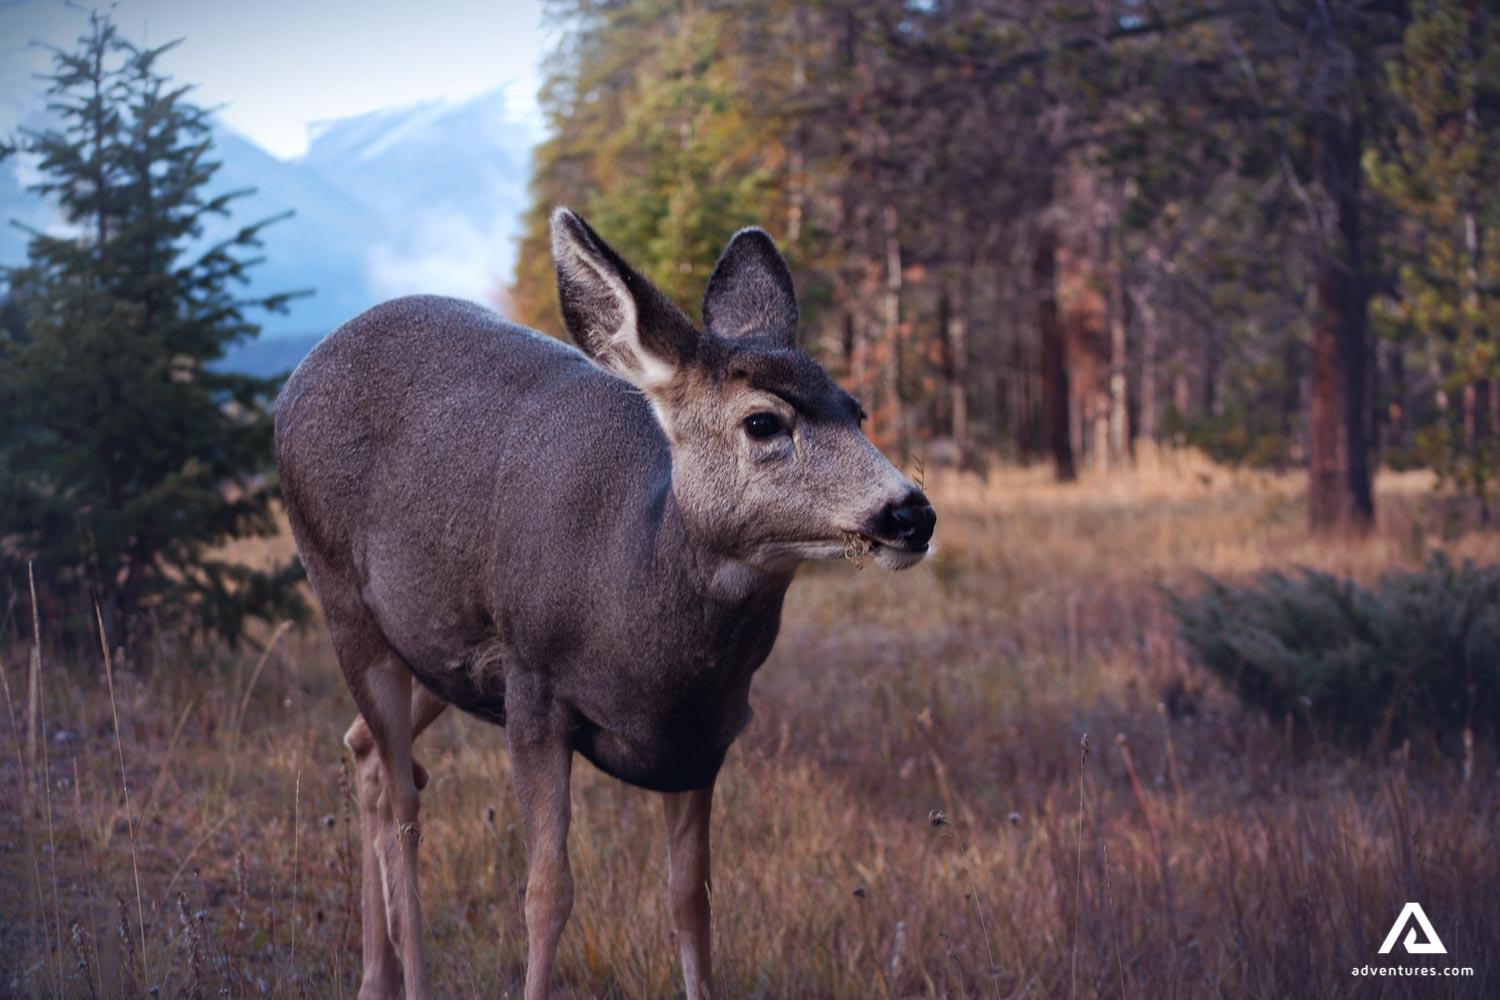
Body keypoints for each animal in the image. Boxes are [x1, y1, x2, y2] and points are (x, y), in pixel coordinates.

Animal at [274, 208, 936, 1000]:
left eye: (857, 410)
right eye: (763, 422)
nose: (911, 513)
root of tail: (296, 378)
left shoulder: (706, 736)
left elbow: (691, 899)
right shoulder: (534, 686)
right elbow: (546, 891)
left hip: (438, 653)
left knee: (367, 753)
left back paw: (374, 978)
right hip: (344, 597)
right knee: (402, 797)